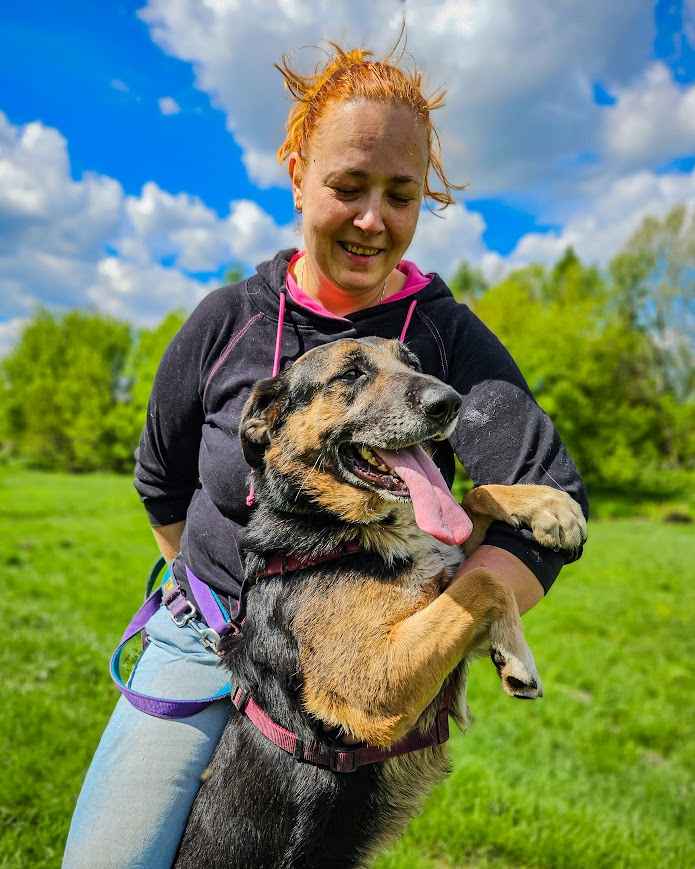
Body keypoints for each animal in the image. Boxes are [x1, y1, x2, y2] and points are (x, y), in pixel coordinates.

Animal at [174, 336, 588, 864]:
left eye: (413, 363)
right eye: (351, 374)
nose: (450, 402)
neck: (334, 525)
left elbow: (473, 505)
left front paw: (550, 507)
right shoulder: (373, 685)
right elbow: (484, 583)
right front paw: (518, 658)